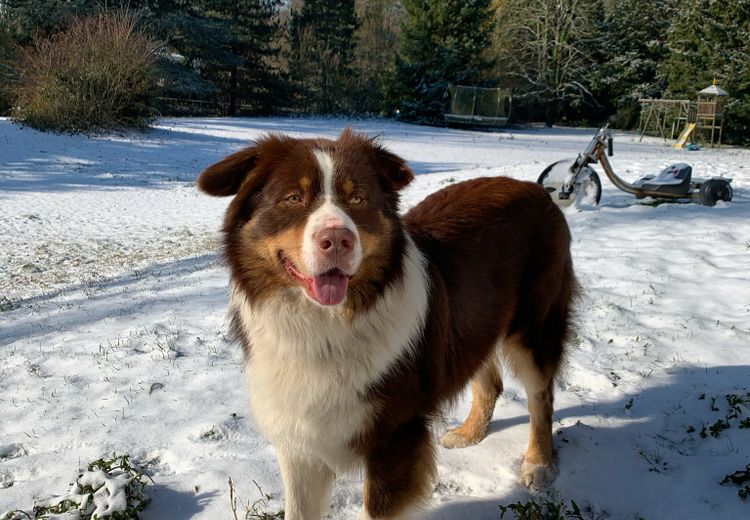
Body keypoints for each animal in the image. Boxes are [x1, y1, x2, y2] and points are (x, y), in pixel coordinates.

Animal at [198, 128, 576, 516]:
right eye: (293, 197)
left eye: (358, 198)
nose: (338, 240)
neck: (326, 324)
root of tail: (537, 190)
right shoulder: (301, 444)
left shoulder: (397, 437)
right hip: (478, 323)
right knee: (490, 382)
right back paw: (470, 433)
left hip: (536, 326)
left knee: (541, 396)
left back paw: (538, 463)